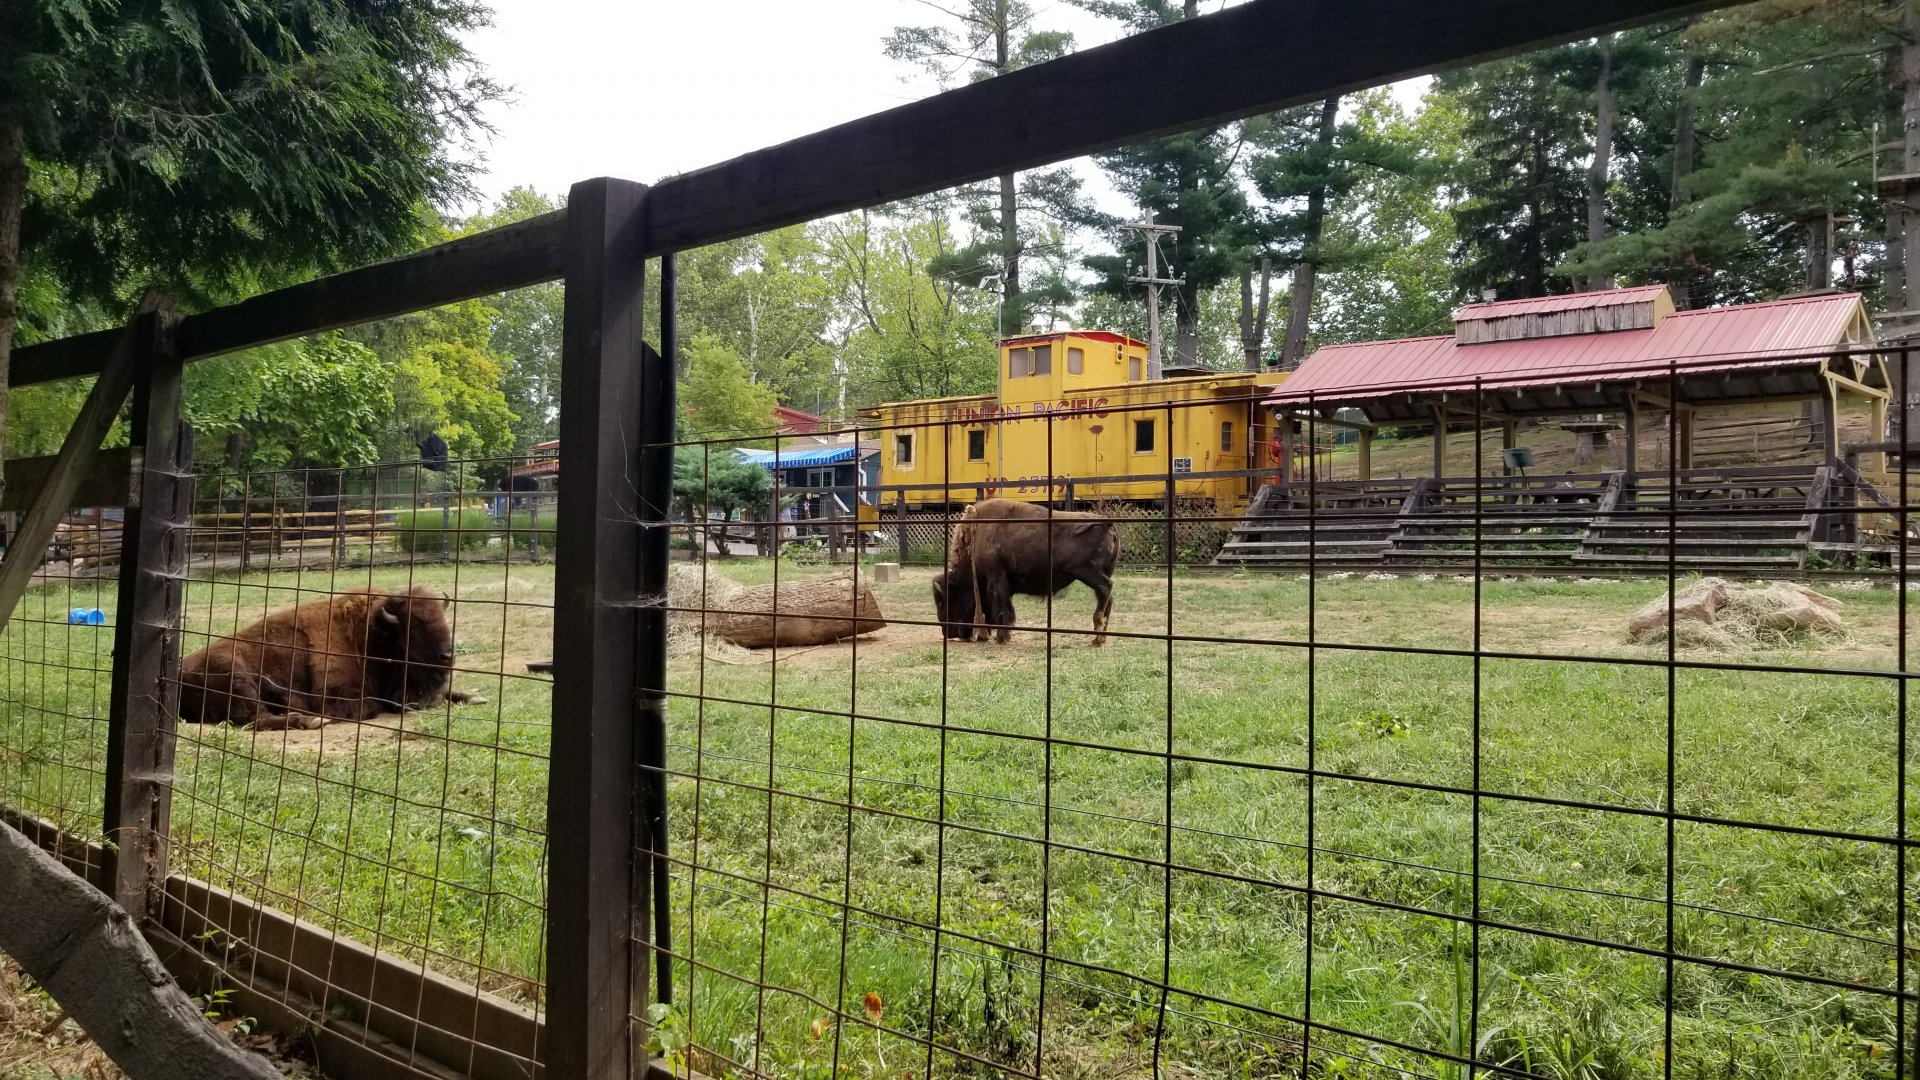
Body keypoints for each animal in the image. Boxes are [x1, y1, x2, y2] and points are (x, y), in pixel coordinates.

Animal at [178, 585, 485, 731]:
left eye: (442, 617)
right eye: (415, 627)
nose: (447, 655)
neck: (370, 637)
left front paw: (474, 697)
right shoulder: (339, 695)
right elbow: (372, 705)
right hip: (235, 674)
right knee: (255, 719)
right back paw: (309, 721)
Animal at [932, 499, 1118, 646]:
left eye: (942, 602)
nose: (947, 634)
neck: (976, 535)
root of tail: (1107, 523)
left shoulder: (996, 576)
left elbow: (1001, 608)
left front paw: (1002, 637)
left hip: (1088, 573)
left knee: (1106, 589)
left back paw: (1097, 637)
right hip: (1100, 572)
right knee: (1108, 597)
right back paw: (1100, 638)